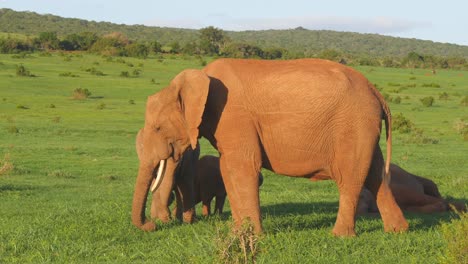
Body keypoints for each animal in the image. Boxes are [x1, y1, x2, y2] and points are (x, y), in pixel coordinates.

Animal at [130, 58, 408, 236]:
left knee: (350, 177)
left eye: (157, 128)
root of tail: (376, 92)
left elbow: (242, 168)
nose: (151, 227)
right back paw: (397, 231)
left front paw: (253, 236)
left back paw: (339, 236)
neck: (200, 77)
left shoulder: (234, 115)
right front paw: (238, 232)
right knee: (375, 176)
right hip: (363, 126)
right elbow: (228, 169)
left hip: (354, 124)